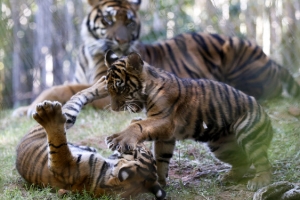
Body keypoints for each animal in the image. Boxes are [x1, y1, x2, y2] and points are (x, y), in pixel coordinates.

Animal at [12, 0, 300, 117]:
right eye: (108, 20)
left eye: (129, 22)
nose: (121, 41)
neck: (88, 50)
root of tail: (272, 61)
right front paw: (26, 109)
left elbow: (60, 88)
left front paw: (29, 108)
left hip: (235, 48)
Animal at [15, 77, 165, 200]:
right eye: (145, 150)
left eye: (140, 151)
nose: (138, 144)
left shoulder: (63, 165)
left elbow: (58, 144)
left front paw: (51, 121)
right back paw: (104, 86)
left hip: (65, 117)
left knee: (75, 101)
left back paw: (48, 113)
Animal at [103, 50, 274, 191]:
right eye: (108, 89)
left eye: (120, 87)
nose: (114, 108)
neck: (148, 91)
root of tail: (265, 113)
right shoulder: (166, 135)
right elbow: (161, 158)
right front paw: (161, 181)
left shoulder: (164, 119)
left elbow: (138, 125)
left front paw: (117, 139)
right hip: (221, 146)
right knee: (243, 162)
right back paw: (227, 177)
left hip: (248, 134)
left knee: (262, 161)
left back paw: (260, 181)